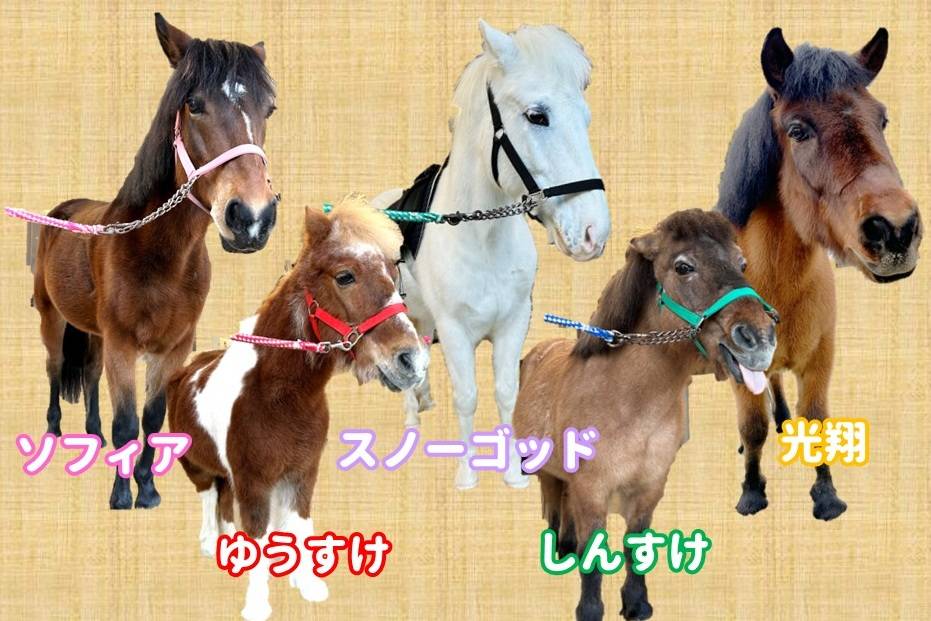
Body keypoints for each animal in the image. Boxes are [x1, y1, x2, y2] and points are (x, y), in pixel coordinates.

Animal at [30, 14, 279, 510]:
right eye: (194, 105)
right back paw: (54, 434)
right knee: (53, 369)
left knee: (89, 375)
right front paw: (121, 495)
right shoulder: (123, 345)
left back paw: (91, 438)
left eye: (269, 109)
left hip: (93, 334)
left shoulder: (174, 348)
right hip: (52, 319)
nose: (252, 218)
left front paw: (146, 488)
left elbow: (153, 418)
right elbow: (127, 423)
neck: (157, 255)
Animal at [167, 196, 429, 621]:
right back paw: (210, 544)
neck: (278, 397)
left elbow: (300, 526)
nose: (412, 361)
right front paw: (258, 604)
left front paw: (308, 586)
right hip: (196, 466)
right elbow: (257, 534)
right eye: (345, 277)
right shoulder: (254, 481)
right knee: (208, 499)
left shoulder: (302, 473)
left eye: (393, 275)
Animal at [372, 20, 610, 490]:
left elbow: (507, 392)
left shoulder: (513, 324)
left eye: (586, 118)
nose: (594, 231)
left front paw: (514, 474)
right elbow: (467, 397)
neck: (481, 240)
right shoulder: (455, 331)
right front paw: (467, 474)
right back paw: (411, 429)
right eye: (537, 115)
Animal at [514, 209, 778, 621]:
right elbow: (593, 558)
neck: (626, 402)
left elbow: (635, 546)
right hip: (548, 473)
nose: (760, 339)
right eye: (683, 267)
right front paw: (590, 610)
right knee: (555, 502)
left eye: (742, 264)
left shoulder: (650, 487)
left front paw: (637, 603)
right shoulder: (592, 490)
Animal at [715, 28, 922, 520]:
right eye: (798, 131)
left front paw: (826, 494)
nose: (896, 229)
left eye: (882, 120)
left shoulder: (821, 359)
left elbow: (817, 419)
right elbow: (752, 426)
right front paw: (752, 490)